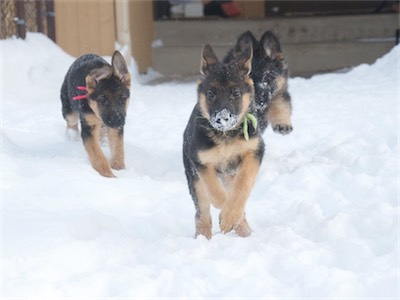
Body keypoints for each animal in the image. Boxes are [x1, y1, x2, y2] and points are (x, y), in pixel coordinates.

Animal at [183, 42, 264, 239]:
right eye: (211, 93)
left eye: (235, 92)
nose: (222, 118)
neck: (226, 136)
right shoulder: (200, 162)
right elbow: (215, 191)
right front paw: (227, 216)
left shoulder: (255, 152)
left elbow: (243, 184)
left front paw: (231, 216)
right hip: (194, 180)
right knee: (202, 213)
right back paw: (203, 238)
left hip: (229, 175)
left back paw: (244, 229)